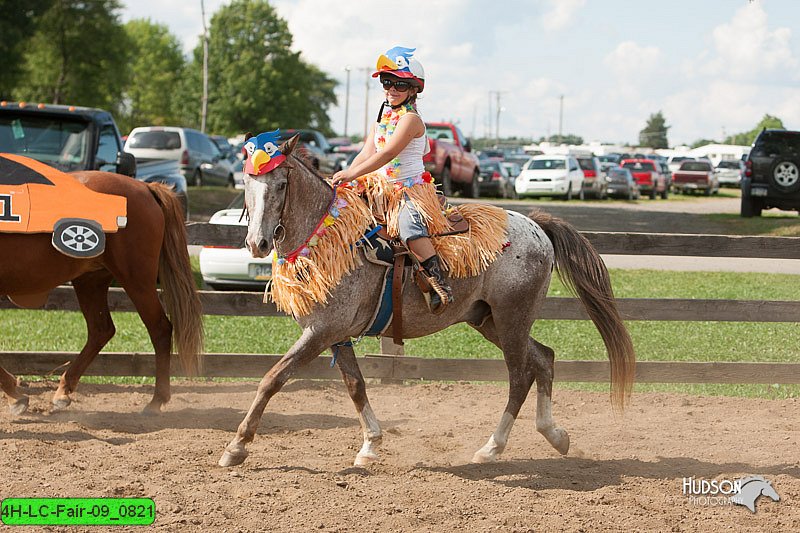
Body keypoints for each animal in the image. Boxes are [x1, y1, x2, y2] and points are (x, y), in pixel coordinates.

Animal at [0, 172, 203, 414]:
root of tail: (145, 187)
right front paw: (15, 395)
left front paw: (15, 397)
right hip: (90, 280)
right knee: (101, 330)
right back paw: (63, 391)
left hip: (136, 280)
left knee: (160, 329)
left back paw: (156, 401)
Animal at [216, 136, 636, 466]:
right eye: (247, 182)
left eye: (281, 183)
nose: (257, 242)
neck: (330, 232)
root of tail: (537, 227)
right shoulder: (337, 334)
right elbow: (355, 386)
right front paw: (370, 445)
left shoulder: (321, 331)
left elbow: (272, 379)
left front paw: (237, 446)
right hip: (489, 321)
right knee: (544, 358)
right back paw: (554, 434)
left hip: (512, 318)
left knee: (520, 376)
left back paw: (492, 447)